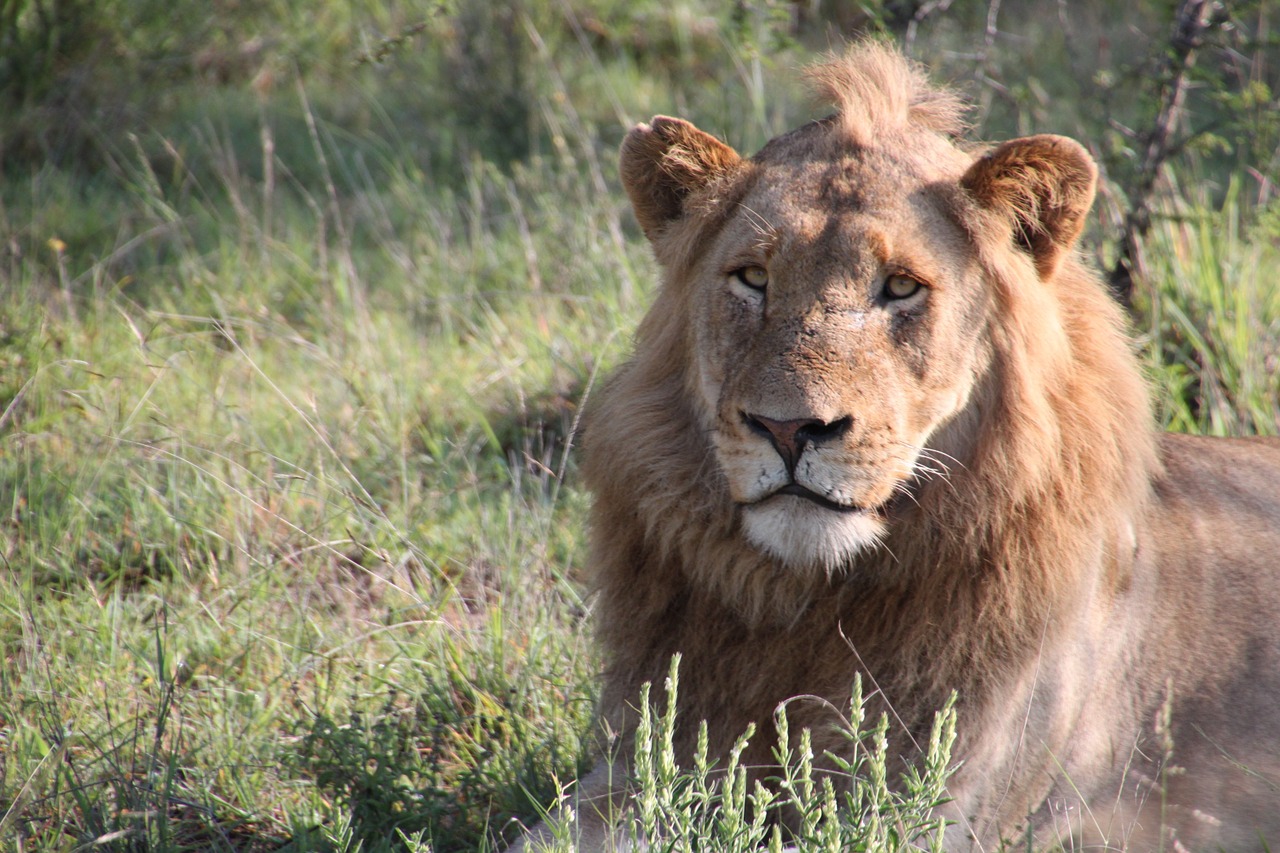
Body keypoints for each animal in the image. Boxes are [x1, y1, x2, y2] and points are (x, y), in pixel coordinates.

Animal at [506, 41, 1280, 850]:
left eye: (901, 287)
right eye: (752, 277)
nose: (790, 429)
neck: (805, 603)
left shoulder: (943, 802)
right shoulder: (646, 758)